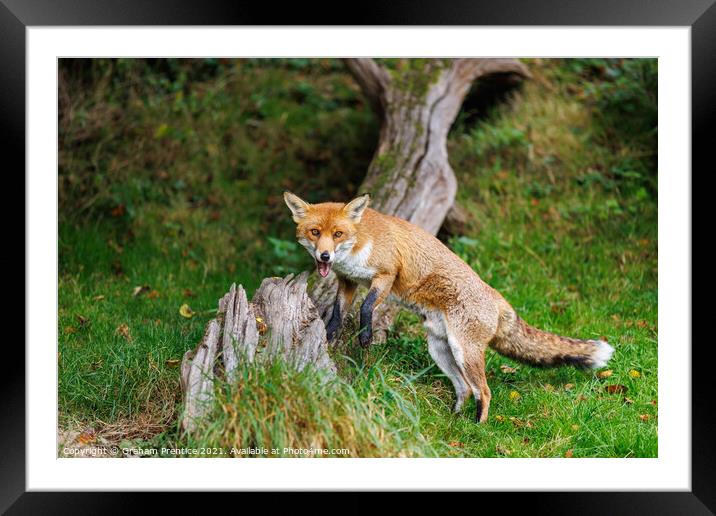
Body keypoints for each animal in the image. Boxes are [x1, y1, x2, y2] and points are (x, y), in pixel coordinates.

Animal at [286, 191, 616, 422]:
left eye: (338, 234)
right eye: (315, 232)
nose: (325, 257)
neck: (359, 242)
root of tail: (498, 297)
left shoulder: (386, 275)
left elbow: (367, 308)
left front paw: (365, 336)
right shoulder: (347, 281)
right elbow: (338, 314)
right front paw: (329, 335)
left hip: (464, 351)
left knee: (484, 391)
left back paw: (477, 427)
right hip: (440, 349)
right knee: (465, 389)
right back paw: (453, 421)